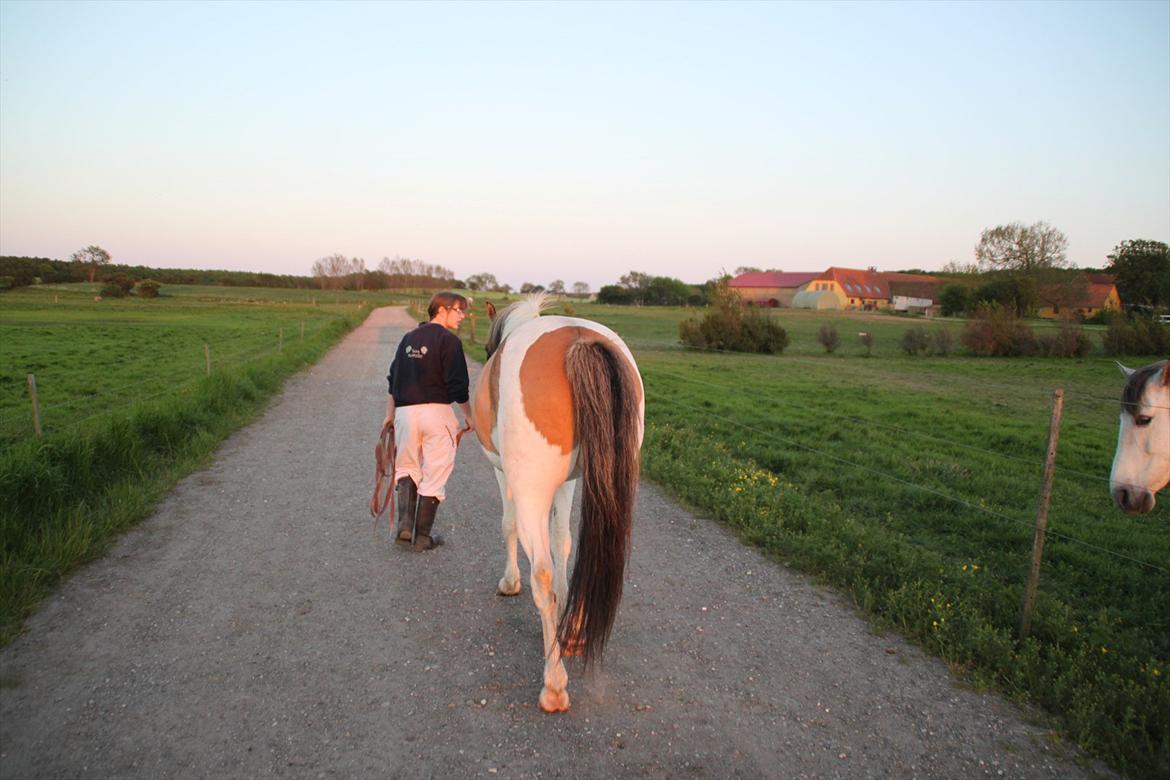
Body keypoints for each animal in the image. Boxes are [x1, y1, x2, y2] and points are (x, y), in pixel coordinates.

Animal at [470, 294, 645, 715]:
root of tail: (577, 339)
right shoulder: (568, 483)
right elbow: (563, 540)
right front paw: (572, 623)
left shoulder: (505, 476)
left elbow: (508, 526)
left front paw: (509, 582)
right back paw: (575, 633)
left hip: (531, 490)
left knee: (543, 575)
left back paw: (554, 683)